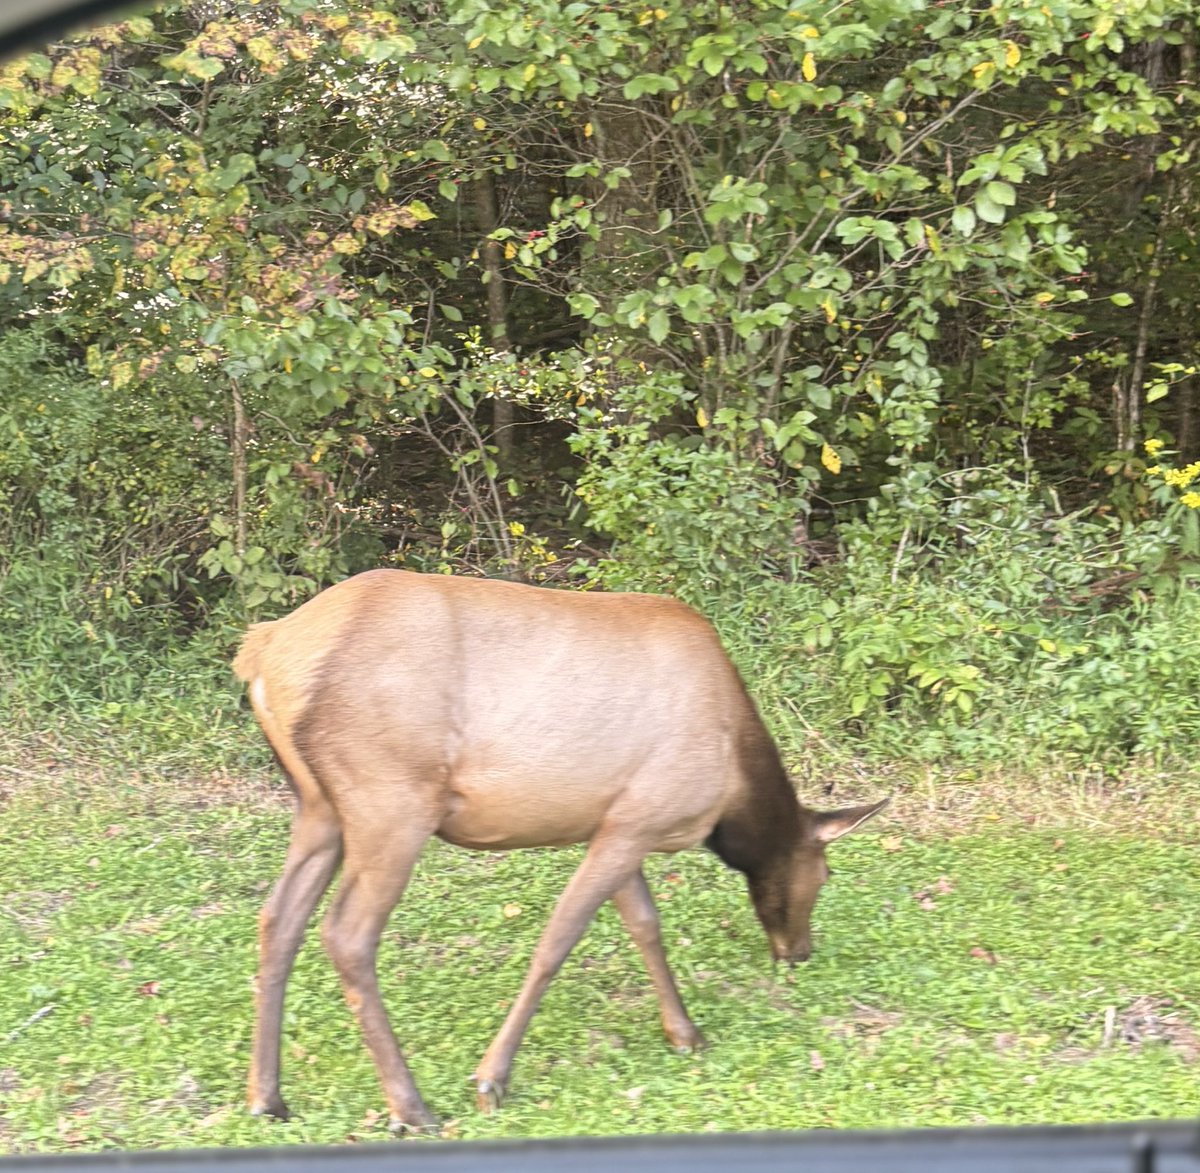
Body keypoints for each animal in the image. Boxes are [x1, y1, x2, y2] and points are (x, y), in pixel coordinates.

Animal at [233, 568, 889, 1132]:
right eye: (824, 875)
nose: (798, 951)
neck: (732, 788)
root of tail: (262, 653)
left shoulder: (618, 821)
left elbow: (645, 925)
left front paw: (685, 1033)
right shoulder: (641, 818)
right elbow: (558, 940)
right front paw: (491, 1080)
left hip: (319, 807)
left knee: (278, 918)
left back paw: (266, 1097)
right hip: (391, 799)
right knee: (346, 933)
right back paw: (410, 1105)